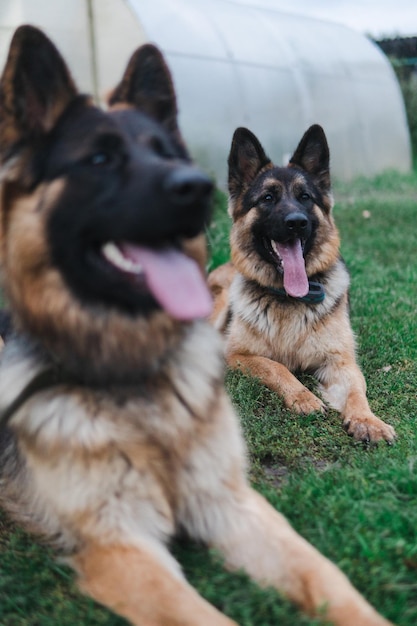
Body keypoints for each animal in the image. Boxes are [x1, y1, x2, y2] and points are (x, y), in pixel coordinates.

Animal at [210, 124, 394, 442]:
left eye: (305, 197)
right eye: (267, 198)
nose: (297, 222)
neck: (290, 298)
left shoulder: (341, 362)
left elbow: (357, 391)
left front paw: (367, 420)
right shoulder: (237, 355)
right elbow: (276, 367)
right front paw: (304, 397)